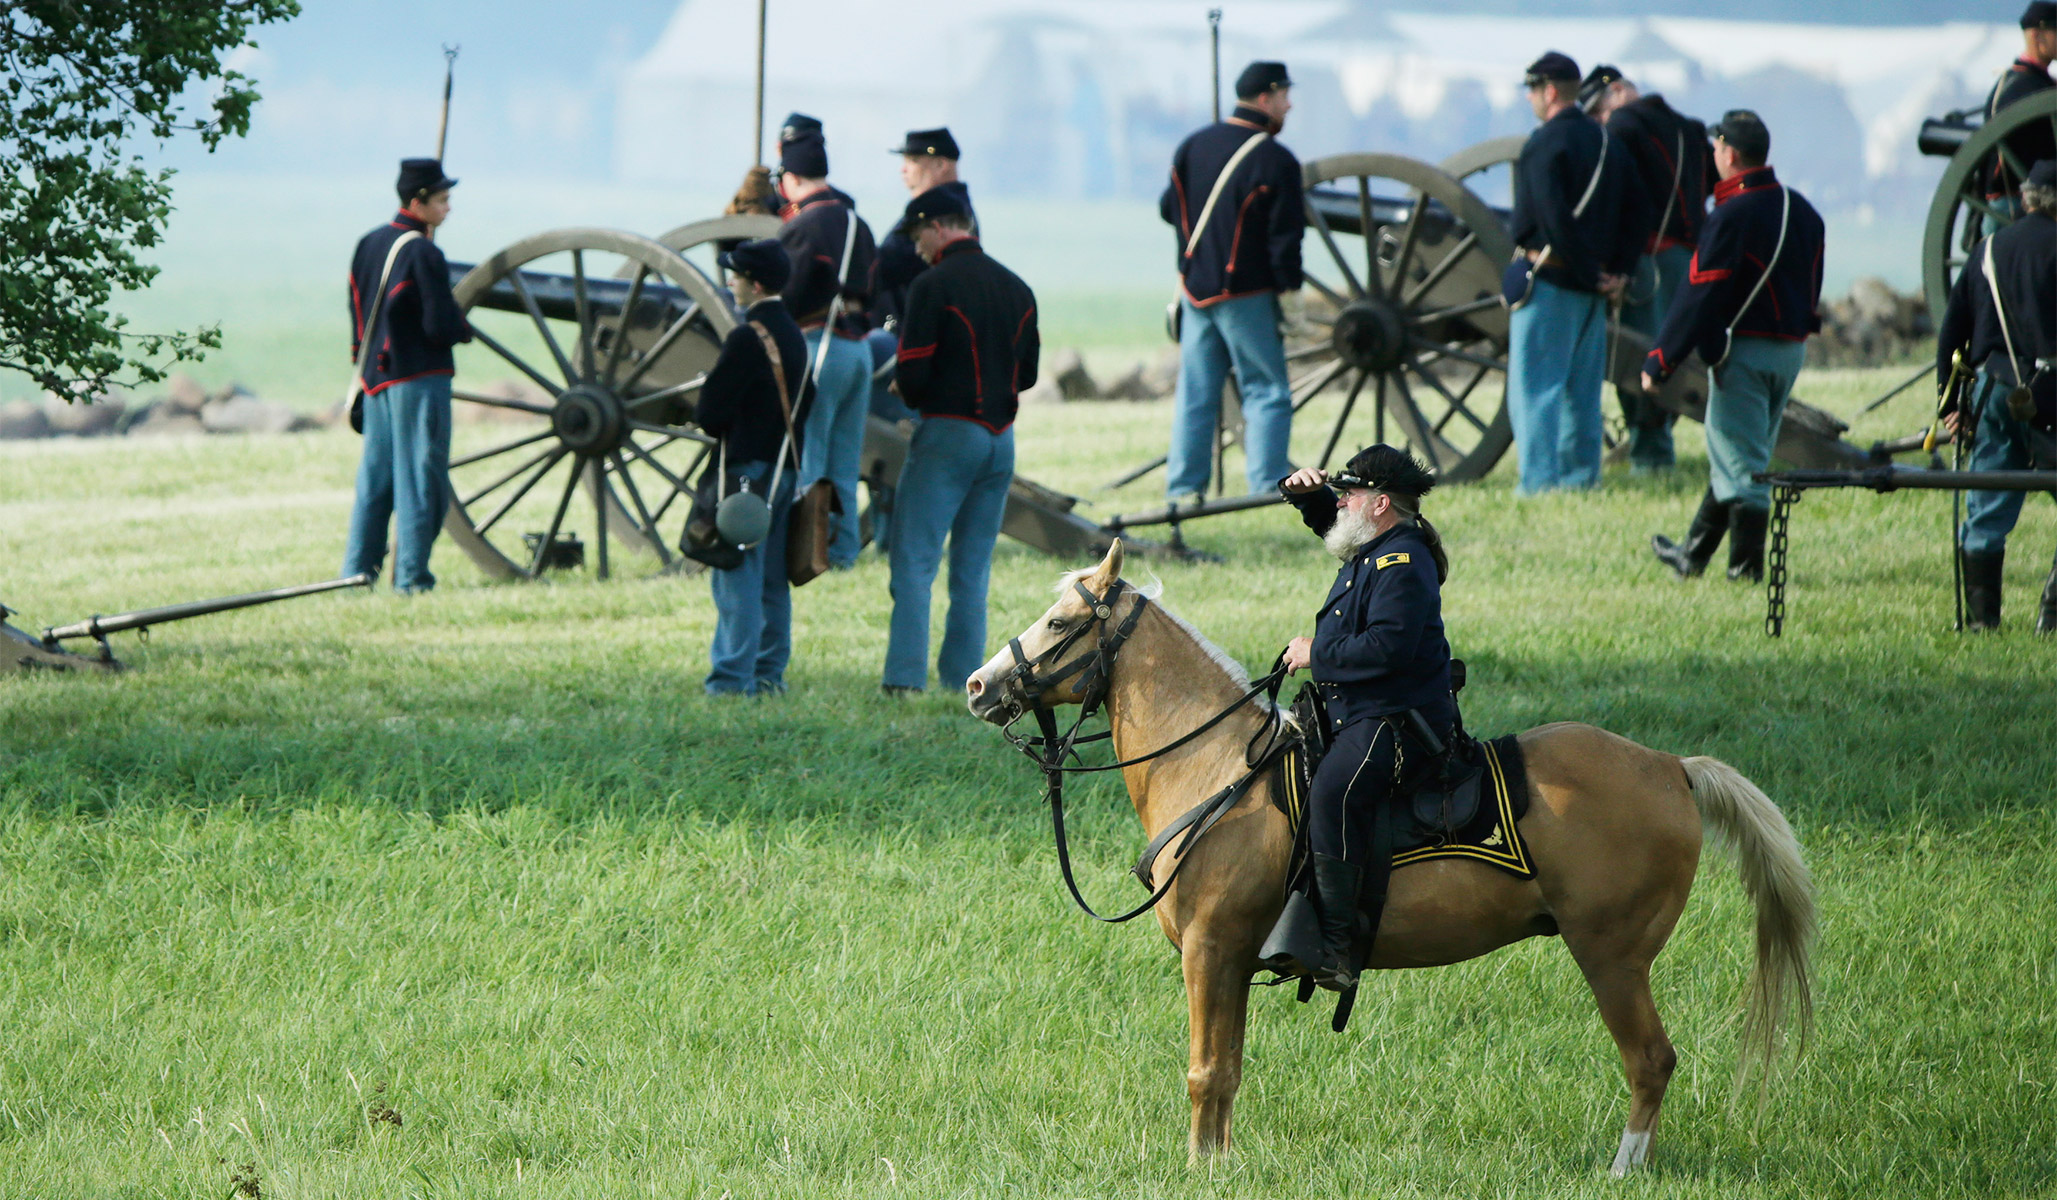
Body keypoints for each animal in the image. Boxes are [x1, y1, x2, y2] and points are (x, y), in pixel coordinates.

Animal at [962, 543, 1818, 1177]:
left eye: (1060, 620)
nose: (977, 684)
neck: (1217, 770)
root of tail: (1671, 766)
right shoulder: (1231, 958)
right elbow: (1228, 1070)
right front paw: (1222, 1166)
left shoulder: (1209, 949)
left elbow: (1203, 1070)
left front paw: (1198, 1171)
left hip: (1611, 957)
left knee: (1649, 1061)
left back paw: (1622, 1170)